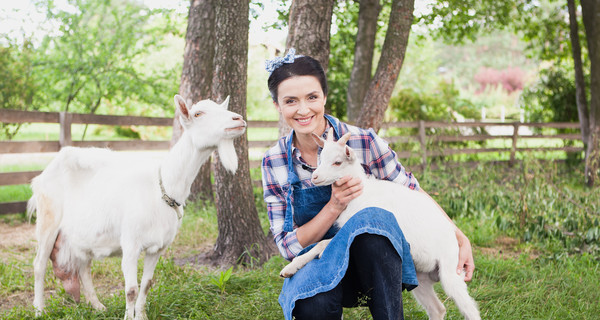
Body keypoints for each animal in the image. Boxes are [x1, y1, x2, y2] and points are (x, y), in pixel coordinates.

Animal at [28, 95, 246, 320]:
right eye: (198, 113)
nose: (238, 119)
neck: (162, 187)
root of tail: (42, 175)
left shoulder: (158, 247)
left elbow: (147, 284)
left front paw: (141, 315)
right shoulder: (130, 244)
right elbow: (131, 289)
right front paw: (129, 316)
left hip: (80, 233)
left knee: (83, 267)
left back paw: (98, 306)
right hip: (48, 219)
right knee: (39, 264)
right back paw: (39, 309)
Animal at [278, 130, 480, 320]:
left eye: (337, 162)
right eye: (321, 159)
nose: (315, 177)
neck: (361, 194)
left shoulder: (355, 227)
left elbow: (324, 243)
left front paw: (295, 266)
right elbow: (320, 243)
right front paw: (290, 269)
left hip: (450, 271)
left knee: (470, 309)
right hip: (420, 277)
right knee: (438, 309)